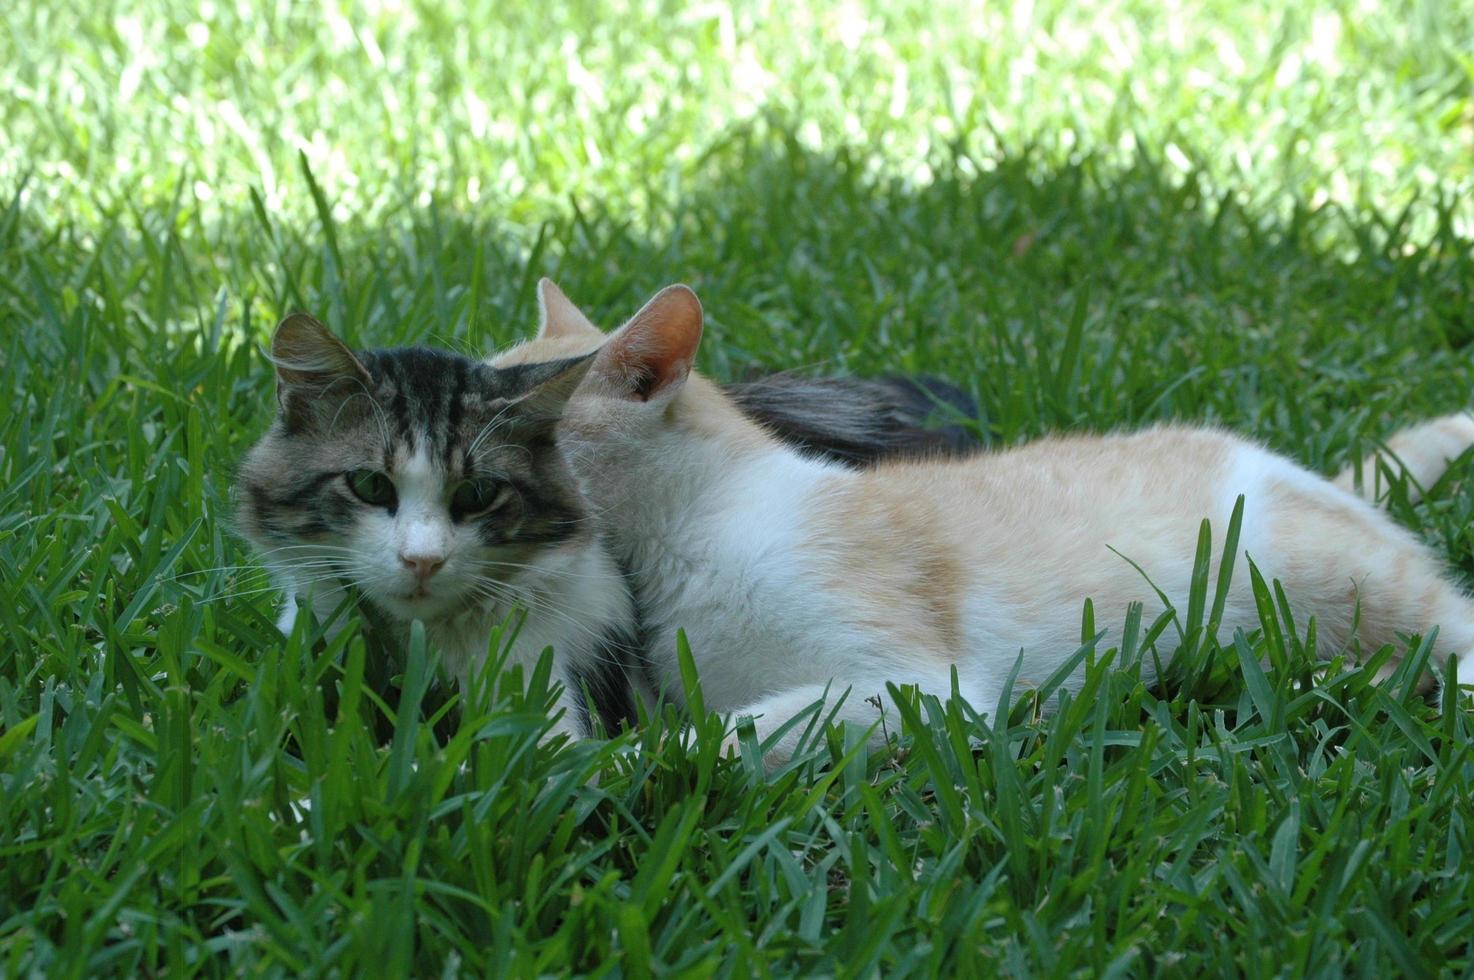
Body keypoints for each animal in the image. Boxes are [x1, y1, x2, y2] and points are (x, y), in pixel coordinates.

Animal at [492, 278, 1474, 760]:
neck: (693, 529)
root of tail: (1300, 469)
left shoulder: (918, 687)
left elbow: (736, 733)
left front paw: (601, 771)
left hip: (1330, 573)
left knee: (1449, 617)